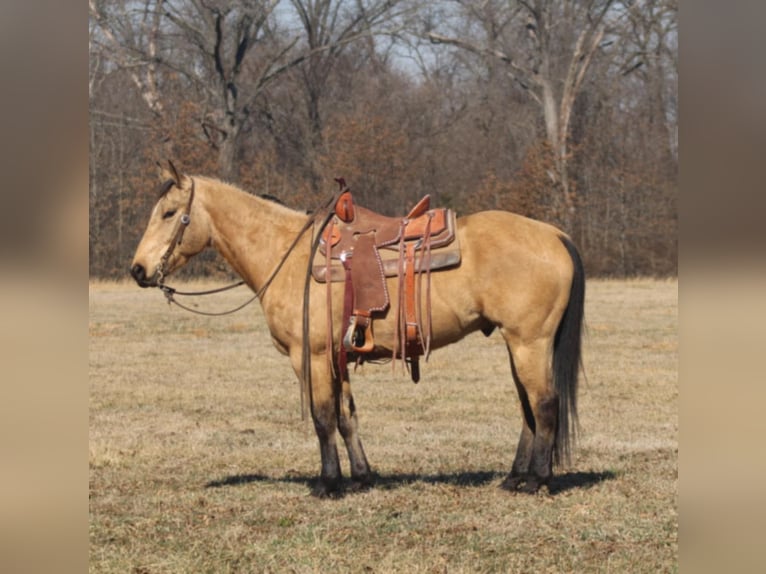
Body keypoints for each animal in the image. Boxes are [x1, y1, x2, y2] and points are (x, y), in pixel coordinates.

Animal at [132, 163, 588, 500]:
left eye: (169, 213)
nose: (138, 270)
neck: (288, 256)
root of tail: (555, 234)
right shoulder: (338, 357)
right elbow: (347, 416)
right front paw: (362, 477)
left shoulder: (312, 356)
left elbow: (322, 417)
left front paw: (328, 484)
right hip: (518, 344)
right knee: (528, 408)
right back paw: (514, 478)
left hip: (529, 343)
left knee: (544, 404)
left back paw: (537, 481)